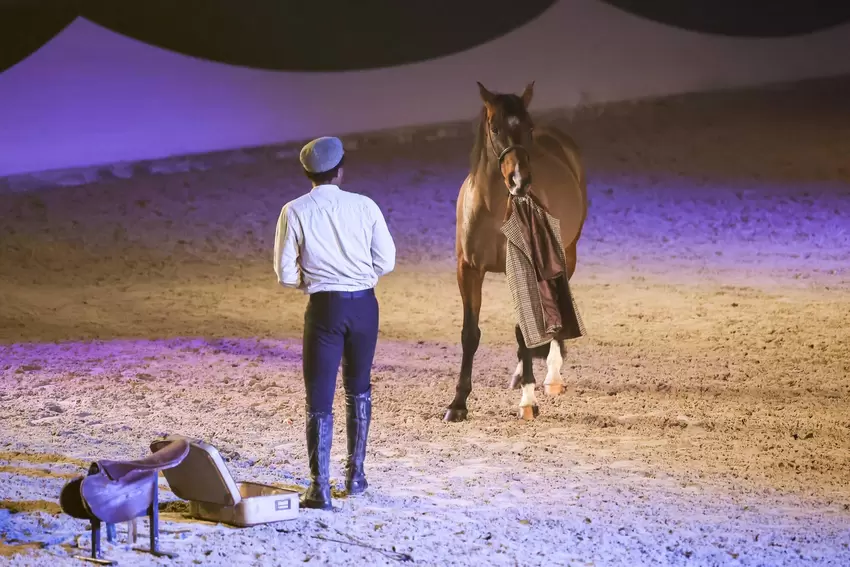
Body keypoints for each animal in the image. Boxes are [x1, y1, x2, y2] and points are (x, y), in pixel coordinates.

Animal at [444, 81, 588, 423]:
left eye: (529, 127)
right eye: (495, 128)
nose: (520, 181)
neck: (493, 211)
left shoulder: (525, 267)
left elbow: (524, 330)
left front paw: (528, 401)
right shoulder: (468, 270)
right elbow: (470, 334)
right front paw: (458, 403)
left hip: (568, 254)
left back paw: (551, 377)